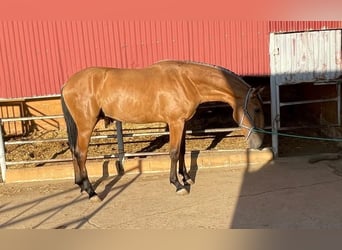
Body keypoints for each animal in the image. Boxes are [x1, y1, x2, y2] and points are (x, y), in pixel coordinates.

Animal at [61, 60, 264, 201]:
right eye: (257, 109)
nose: (260, 144)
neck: (186, 81)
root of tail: (67, 84)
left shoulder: (182, 123)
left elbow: (182, 151)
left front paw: (186, 178)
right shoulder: (175, 123)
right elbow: (174, 152)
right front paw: (178, 185)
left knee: (73, 151)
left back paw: (81, 186)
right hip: (86, 126)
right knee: (81, 154)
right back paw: (91, 192)